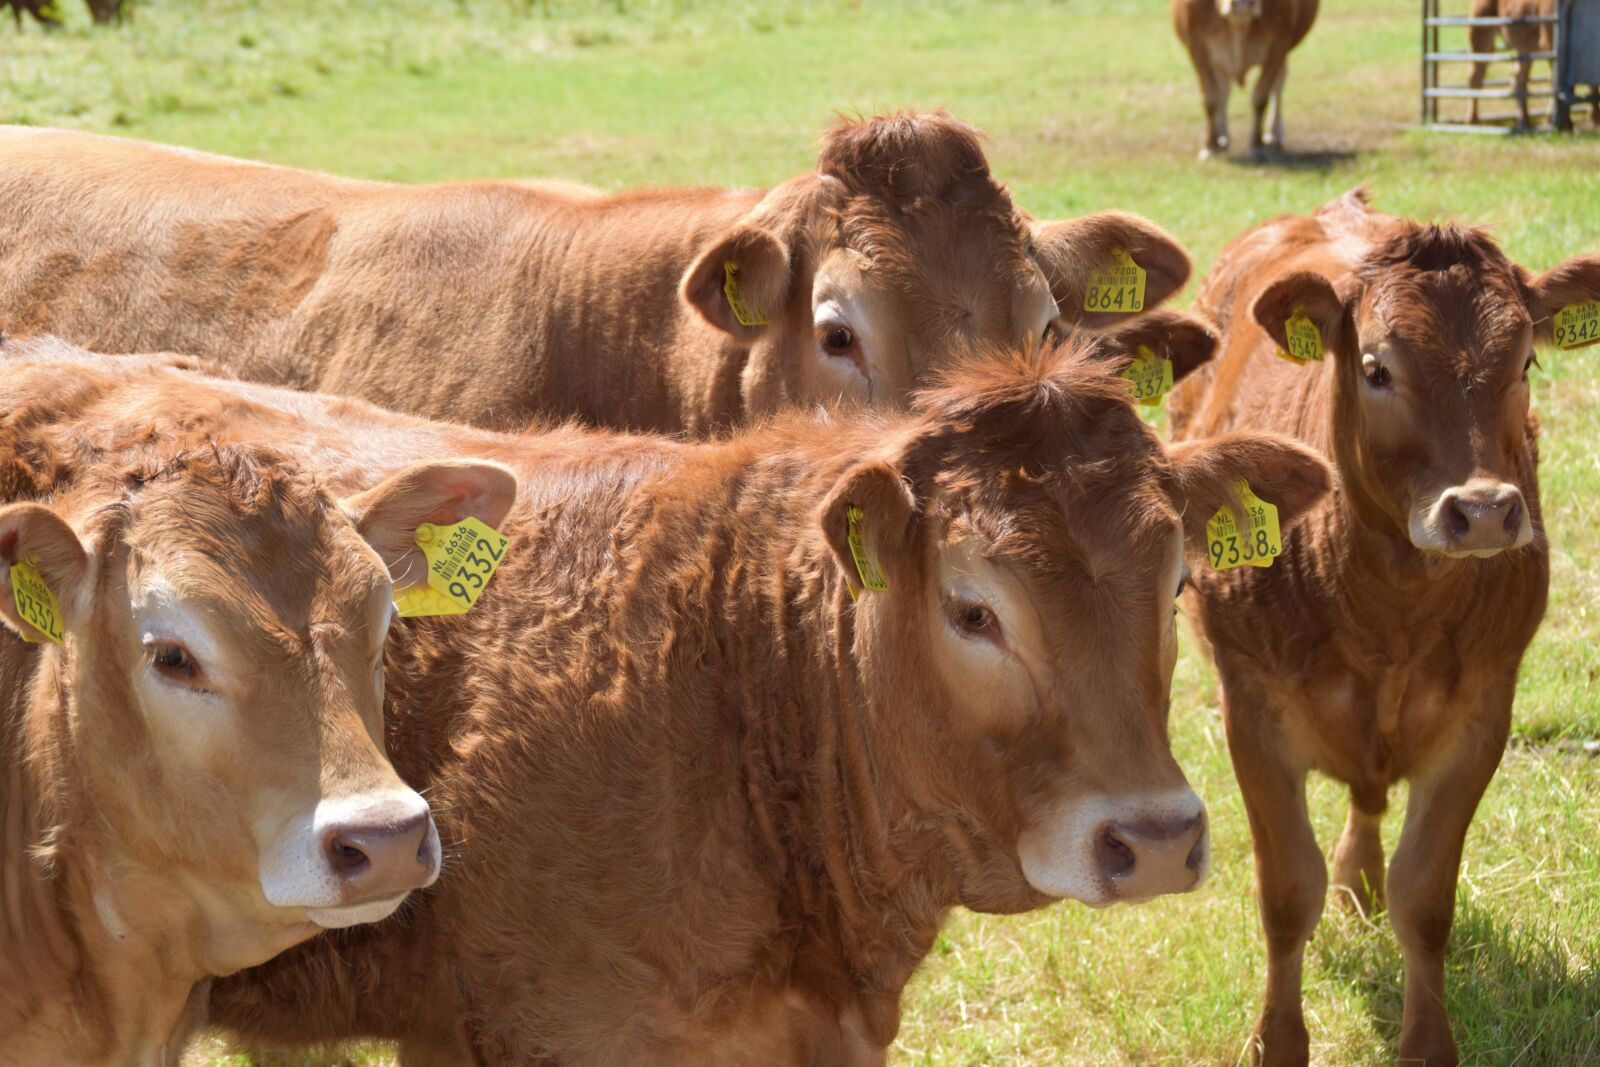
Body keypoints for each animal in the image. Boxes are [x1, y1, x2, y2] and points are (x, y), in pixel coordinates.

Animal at [1168, 187, 1600, 1065]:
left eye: (1525, 363)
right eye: (1376, 367)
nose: (1483, 510)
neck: (1387, 610)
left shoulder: (1482, 712)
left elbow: (1425, 897)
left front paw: (1427, 1040)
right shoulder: (1251, 710)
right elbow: (1286, 894)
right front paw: (1277, 1038)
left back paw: (1359, 880)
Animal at [1172, 0, 1319, 160]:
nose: (1243, 4)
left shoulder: (1278, 46)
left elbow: (1260, 98)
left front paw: (1257, 145)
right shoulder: (1197, 48)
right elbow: (1211, 99)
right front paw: (1210, 145)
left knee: (1278, 83)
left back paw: (1274, 134)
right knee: (1224, 90)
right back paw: (1222, 136)